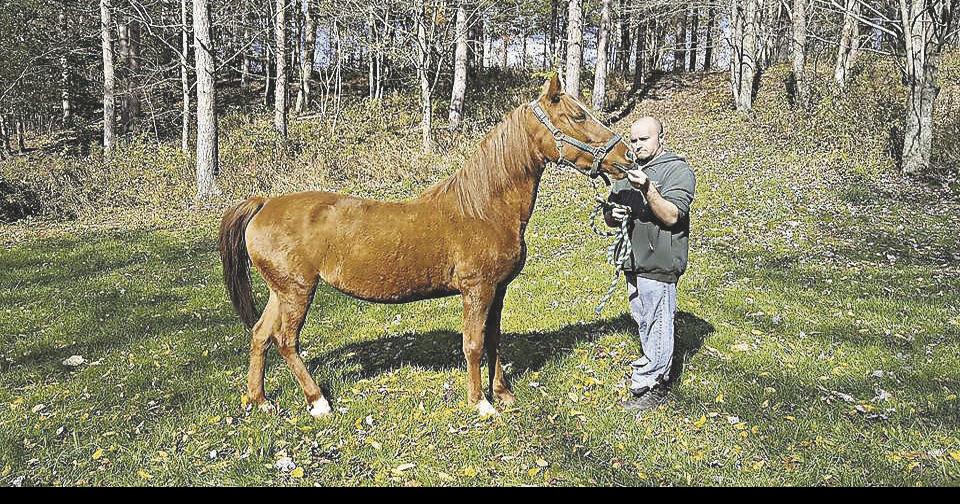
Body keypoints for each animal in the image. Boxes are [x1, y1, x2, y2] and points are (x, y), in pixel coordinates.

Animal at [218, 74, 633, 418]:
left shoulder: (498, 290)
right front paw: (481, 403)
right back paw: (318, 401)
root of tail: (265, 203)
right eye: (577, 116)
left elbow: (494, 339)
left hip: (282, 291)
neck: (482, 208)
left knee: (260, 335)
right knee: (286, 341)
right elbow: (473, 344)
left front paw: (503, 394)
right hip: (297, 291)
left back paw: (260, 400)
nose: (626, 155)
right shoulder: (477, 289)